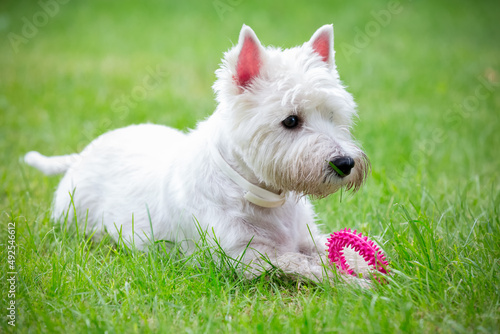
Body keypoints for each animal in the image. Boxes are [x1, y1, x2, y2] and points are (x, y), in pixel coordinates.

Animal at [25, 24, 370, 282]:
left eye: (333, 116)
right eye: (291, 121)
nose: (345, 163)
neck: (261, 194)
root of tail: (81, 156)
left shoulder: (306, 238)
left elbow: (337, 252)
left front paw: (370, 268)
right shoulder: (244, 258)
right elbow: (303, 264)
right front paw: (357, 284)